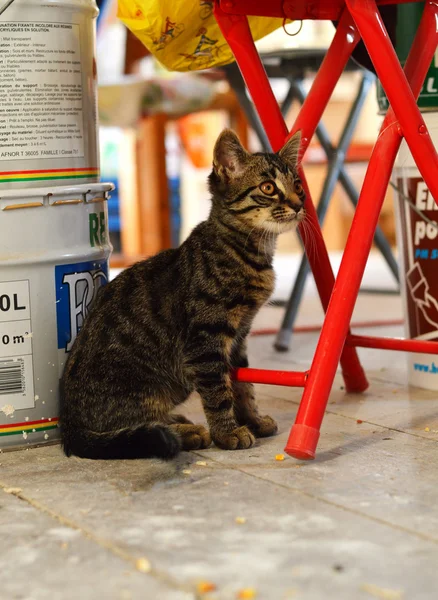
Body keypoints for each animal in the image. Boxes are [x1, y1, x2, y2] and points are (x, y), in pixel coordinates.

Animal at [60, 130, 304, 460]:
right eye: (268, 188)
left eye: (298, 185)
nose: (299, 204)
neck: (247, 251)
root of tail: (68, 424)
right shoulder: (206, 339)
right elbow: (218, 391)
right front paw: (227, 433)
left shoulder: (239, 338)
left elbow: (243, 384)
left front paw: (252, 419)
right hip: (149, 386)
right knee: (137, 428)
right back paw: (187, 433)